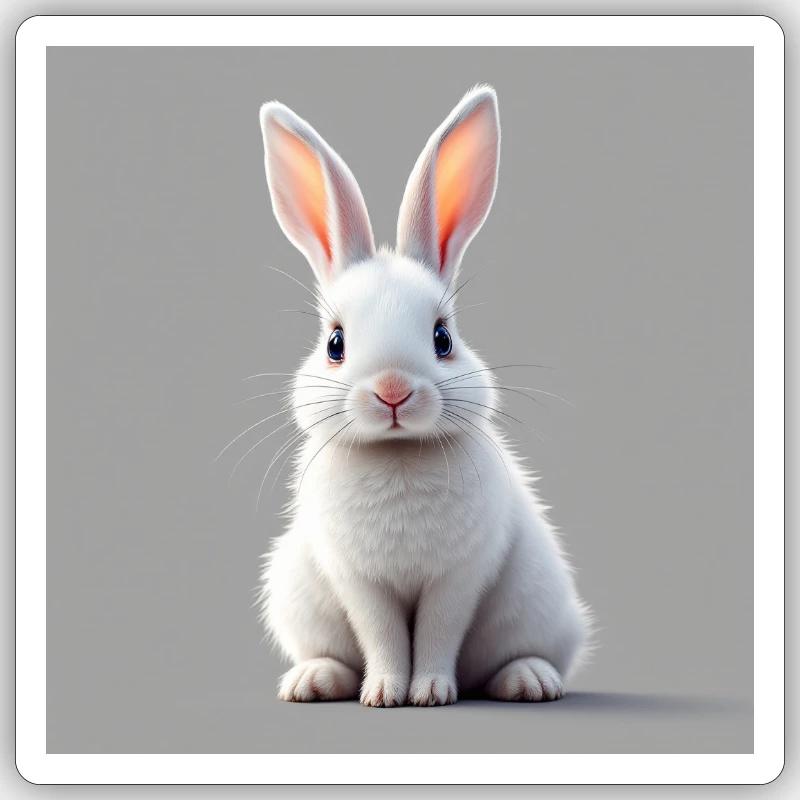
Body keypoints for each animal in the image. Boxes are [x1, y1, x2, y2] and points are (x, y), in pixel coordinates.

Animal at [255, 85, 591, 707]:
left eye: (443, 338)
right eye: (335, 343)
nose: (393, 390)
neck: (398, 454)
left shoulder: (458, 578)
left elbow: (437, 632)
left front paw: (430, 691)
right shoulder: (358, 582)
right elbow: (382, 634)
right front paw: (386, 693)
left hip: (538, 603)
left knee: (512, 656)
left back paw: (530, 680)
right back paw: (313, 680)